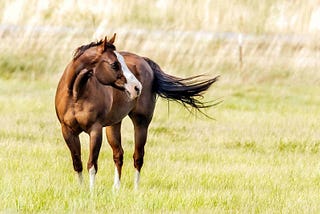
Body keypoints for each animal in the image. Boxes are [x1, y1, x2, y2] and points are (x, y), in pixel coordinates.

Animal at [55, 33, 219, 191]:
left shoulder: (95, 130)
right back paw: (116, 188)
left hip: (141, 123)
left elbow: (92, 164)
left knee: (138, 157)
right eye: (114, 64)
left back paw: (135, 188)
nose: (136, 87)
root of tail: (145, 61)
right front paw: (82, 189)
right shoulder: (67, 131)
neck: (77, 94)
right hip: (114, 124)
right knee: (118, 154)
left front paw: (91, 191)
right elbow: (77, 162)